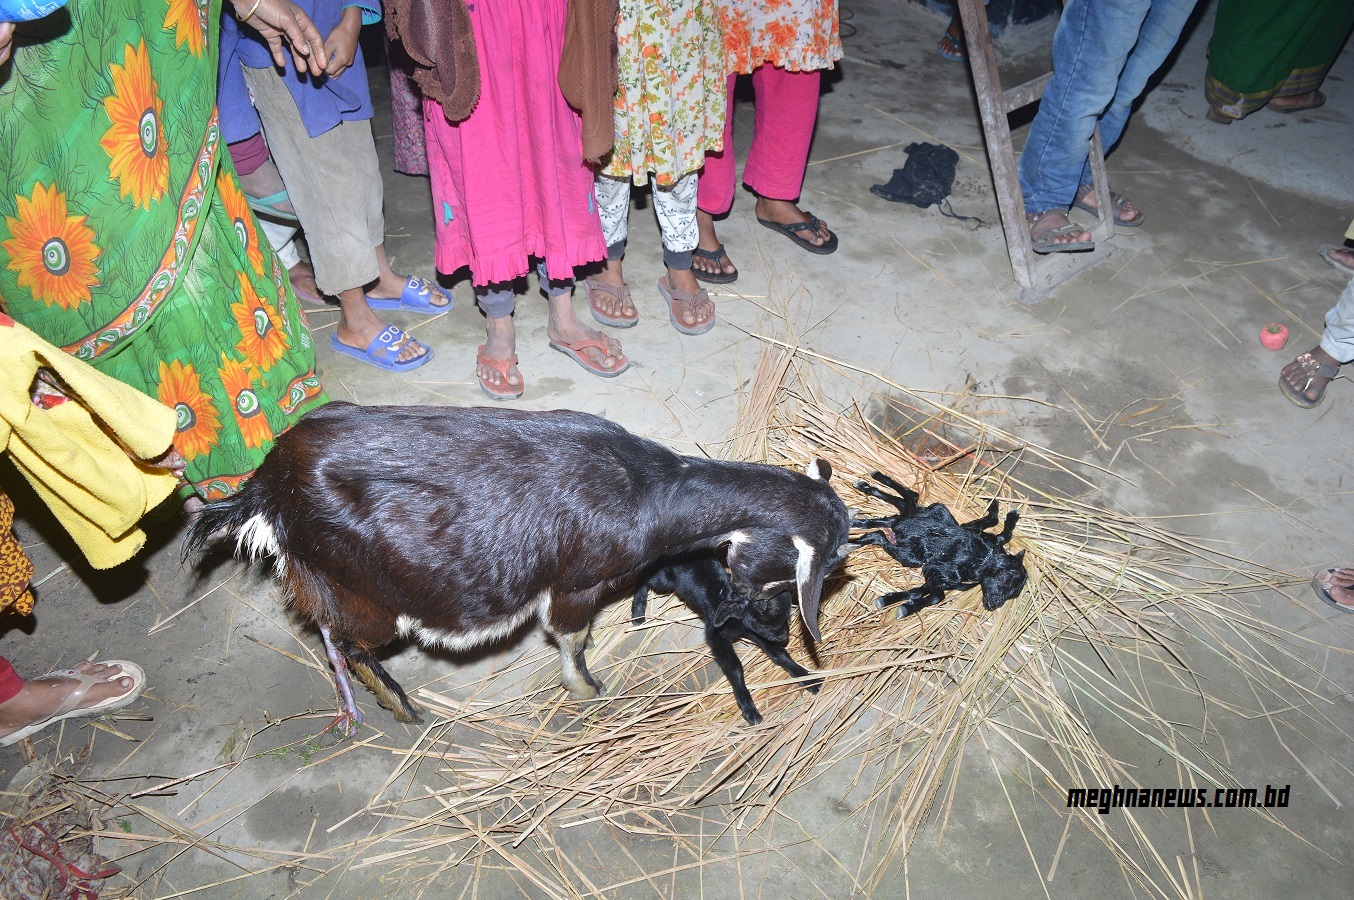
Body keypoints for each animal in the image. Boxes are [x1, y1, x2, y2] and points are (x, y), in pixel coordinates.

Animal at [185, 403, 850, 736]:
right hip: (368, 591)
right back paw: (401, 706)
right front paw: (588, 690)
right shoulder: (575, 585)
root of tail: (266, 491)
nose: (784, 633)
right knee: (346, 639)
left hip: (328, 576)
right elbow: (571, 639)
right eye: (788, 583)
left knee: (325, 625)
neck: (646, 489)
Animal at [850, 470, 1029, 617]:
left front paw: (893, 601)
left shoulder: (940, 575)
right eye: (1003, 577)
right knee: (906, 501)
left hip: (911, 520)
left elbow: (922, 592)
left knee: (894, 512)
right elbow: (937, 596)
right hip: (917, 546)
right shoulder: (935, 567)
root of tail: (900, 522)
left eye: (1013, 594)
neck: (983, 560)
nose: (994, 604)